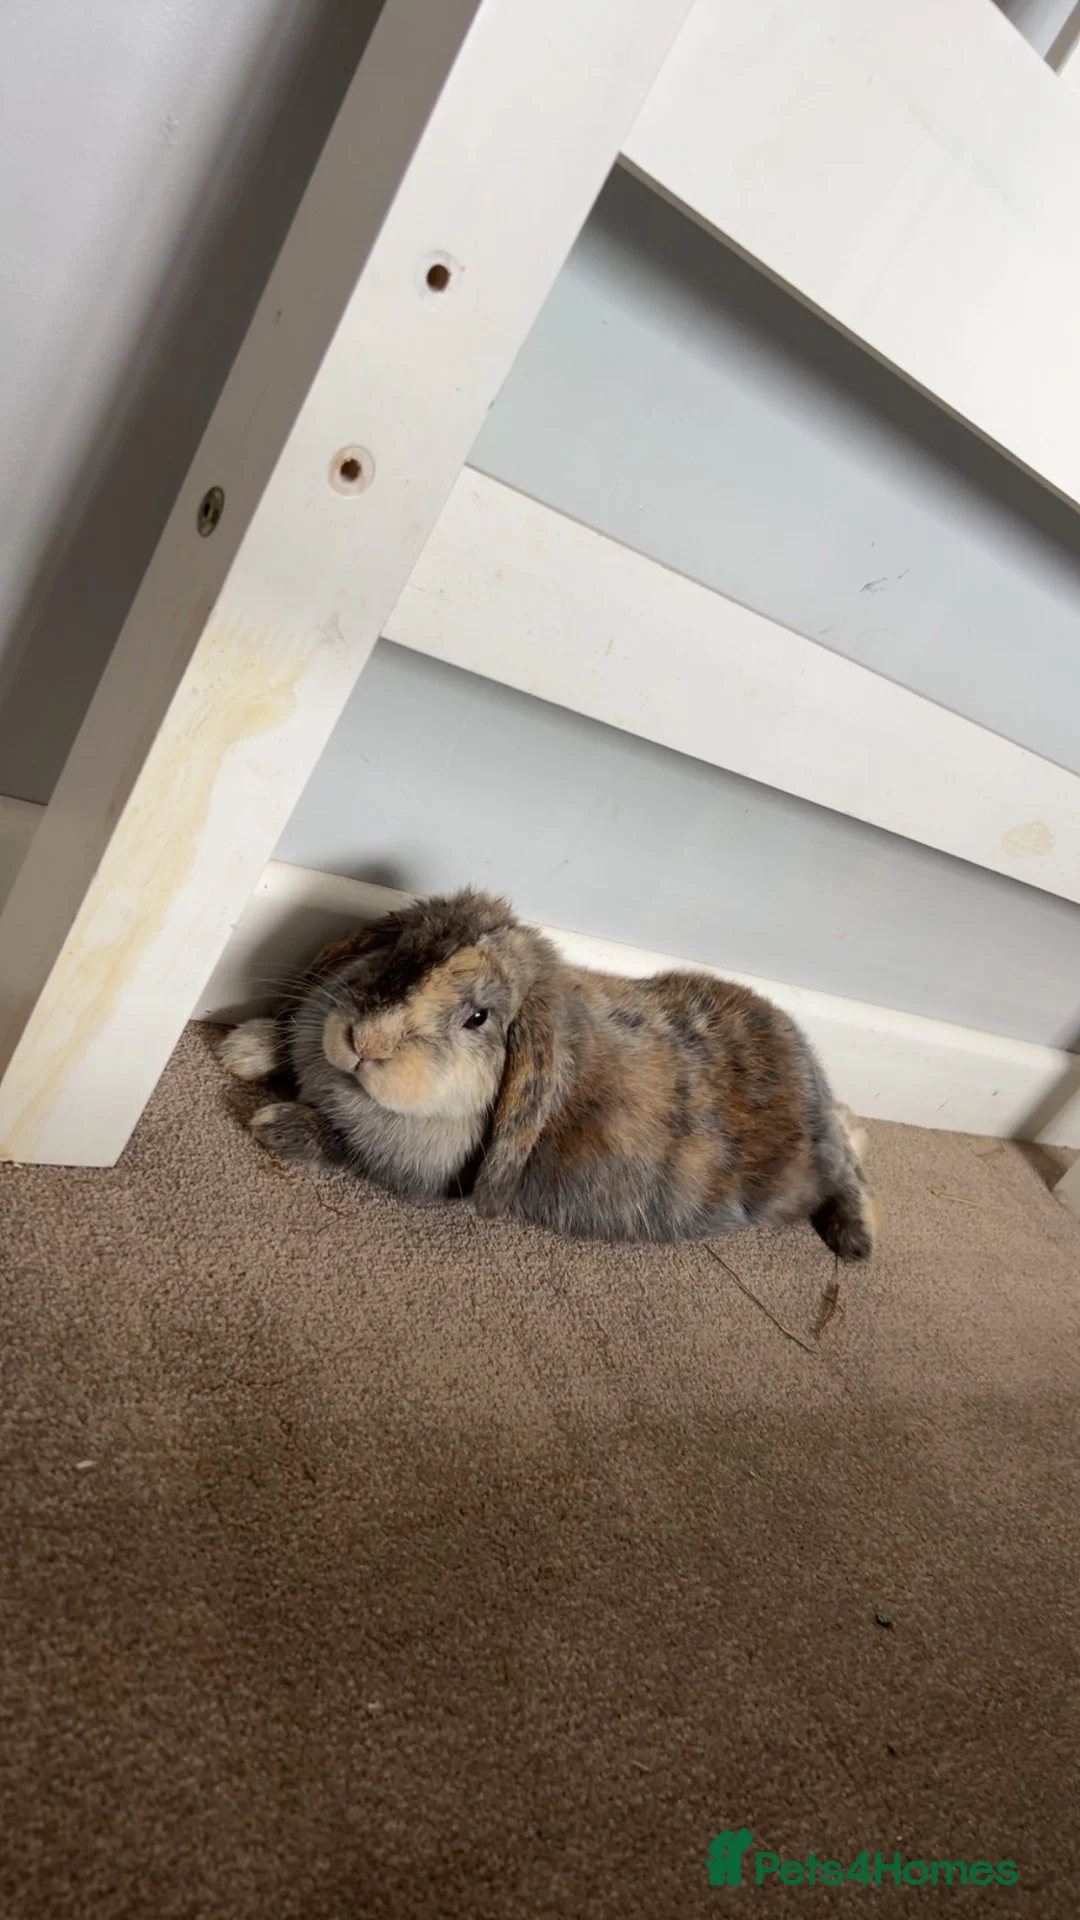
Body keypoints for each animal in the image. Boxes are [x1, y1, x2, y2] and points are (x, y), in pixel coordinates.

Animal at [220, 888, 878, 1257]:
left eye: (478, 1017)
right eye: (398, 953)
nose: (365, 1042)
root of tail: (816, 1081)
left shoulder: (413, 1168)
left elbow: (340, 1142)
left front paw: (272, 1121)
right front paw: (242, 1048)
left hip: (805, 1174)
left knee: (851, 1168)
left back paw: (856, 1242)